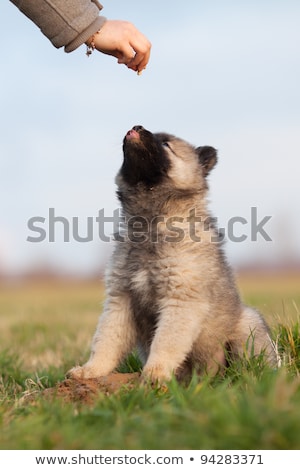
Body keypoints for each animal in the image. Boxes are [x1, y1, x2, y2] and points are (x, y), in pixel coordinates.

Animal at [68, 126, 276, 384]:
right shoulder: (121, 299)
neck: (149, 225)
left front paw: (154, 374)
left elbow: (165, 343)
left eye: (166, 144)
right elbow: (106, 340)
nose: (136, 127)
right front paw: (91, 370)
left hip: (247, 324)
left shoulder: (180, 300)